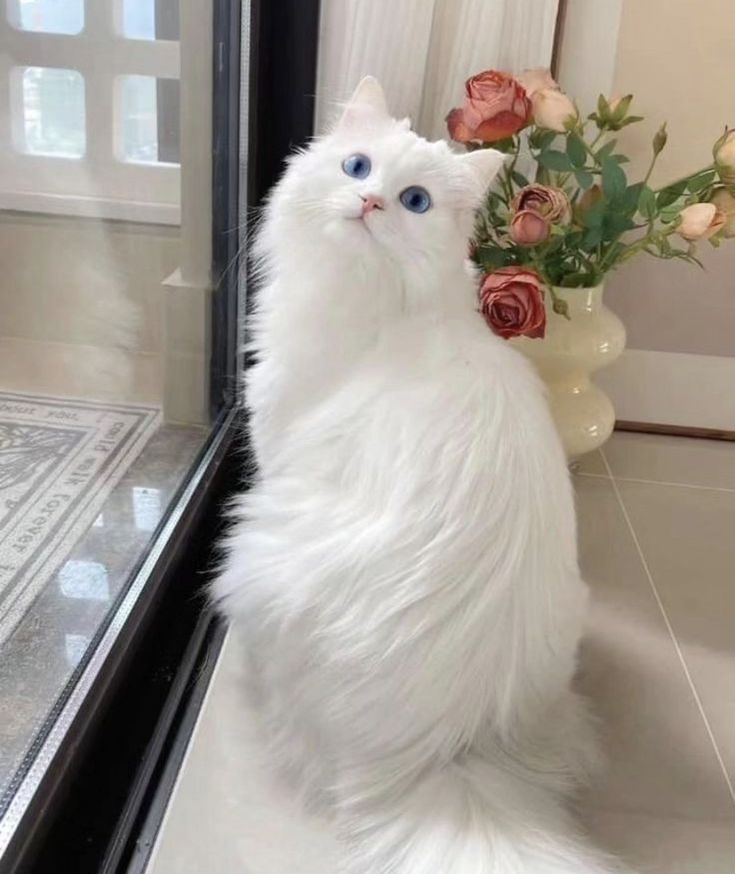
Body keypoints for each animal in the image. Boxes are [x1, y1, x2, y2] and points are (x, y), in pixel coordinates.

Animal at [214, 78, 632, 868]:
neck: (375, 304)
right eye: (356, 166)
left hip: (255, 550)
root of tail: (450, 753)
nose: (372, 202)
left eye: (414, 201)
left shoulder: (274, 435)